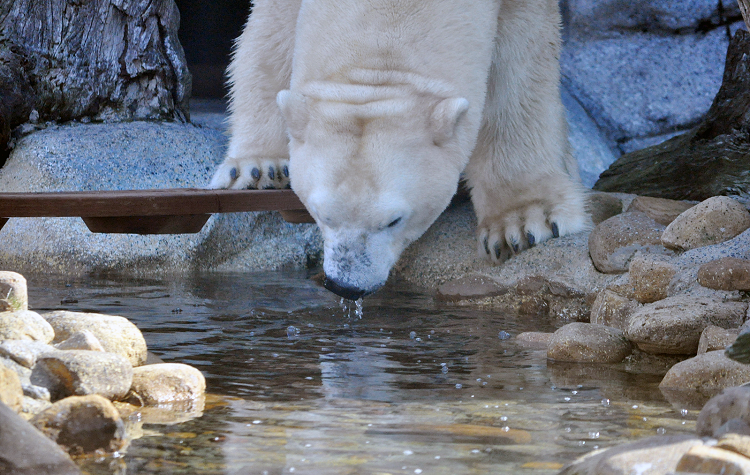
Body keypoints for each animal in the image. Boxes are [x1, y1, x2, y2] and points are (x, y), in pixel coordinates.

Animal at [212, 0, 592, 298]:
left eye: (394, 220)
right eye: (321, 214)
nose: (348, 287)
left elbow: (521, 71)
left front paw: (522, 223)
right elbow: (269, 36)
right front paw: (257, 166)